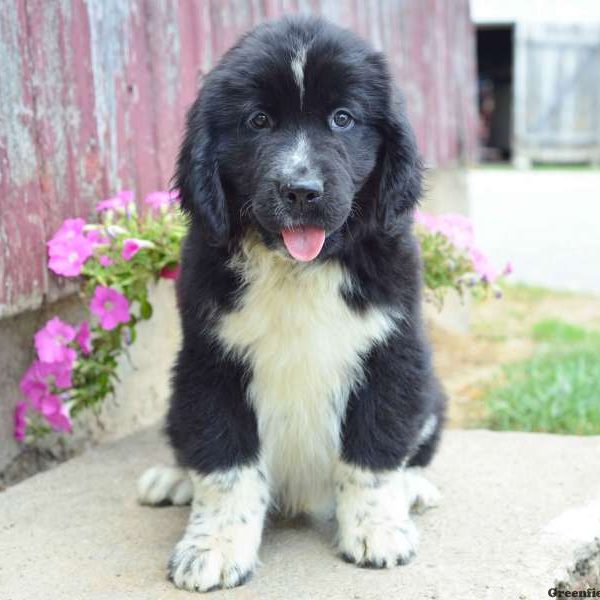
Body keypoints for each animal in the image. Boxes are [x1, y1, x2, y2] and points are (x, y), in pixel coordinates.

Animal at [137, 16, 446, 592]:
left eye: (343, 119)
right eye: (258, 121)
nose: (301, 190)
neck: (299, 270)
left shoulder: (391, 353)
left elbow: (372, 454)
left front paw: (377, 529)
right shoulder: (210, 362)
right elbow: (224, 463)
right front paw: (213, 547)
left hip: (432, 395)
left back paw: (412, 489)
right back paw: (172, 479)